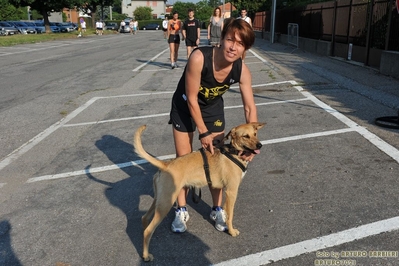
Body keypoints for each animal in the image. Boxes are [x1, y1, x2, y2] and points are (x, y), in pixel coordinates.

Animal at [134, 123, 266, 262]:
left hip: (159, 200)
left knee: (144, 219)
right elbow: (230, 215)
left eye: (255, 134)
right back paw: (146, 255)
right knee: (148, 230)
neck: (233, 152)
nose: (260, 145)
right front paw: (231, 231)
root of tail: (166, 164)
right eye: (245, 136)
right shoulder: (232, 192)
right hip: (166, 203)